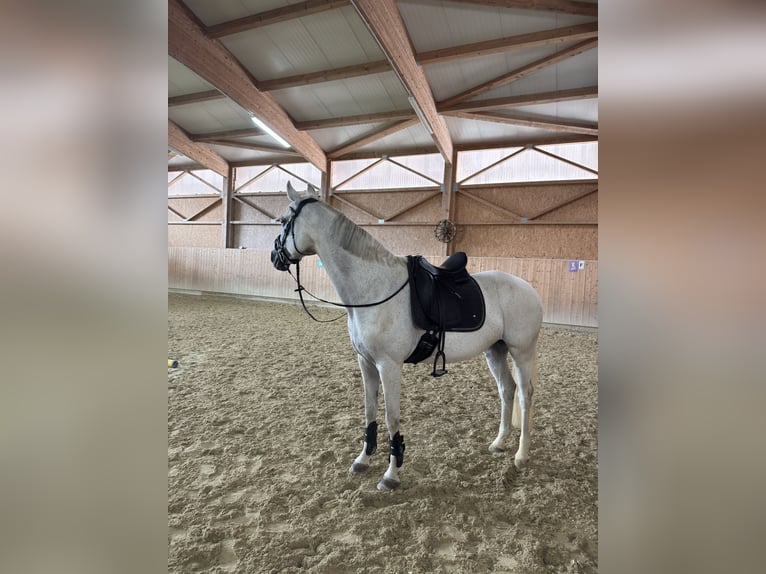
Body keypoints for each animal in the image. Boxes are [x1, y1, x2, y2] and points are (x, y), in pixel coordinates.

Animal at [271, 181, 543, 491]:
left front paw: (391, 474)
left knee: (525, 394)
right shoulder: (365, 363)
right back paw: (498, 443)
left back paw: (521, 456)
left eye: (283, 220)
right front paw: (363, 460)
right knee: (507, 390)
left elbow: (391, 417)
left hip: (521, 352)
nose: (274, 257)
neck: (374, 288)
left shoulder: (388, 366)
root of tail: (528, 288)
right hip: (495, 350)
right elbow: (370, 412)